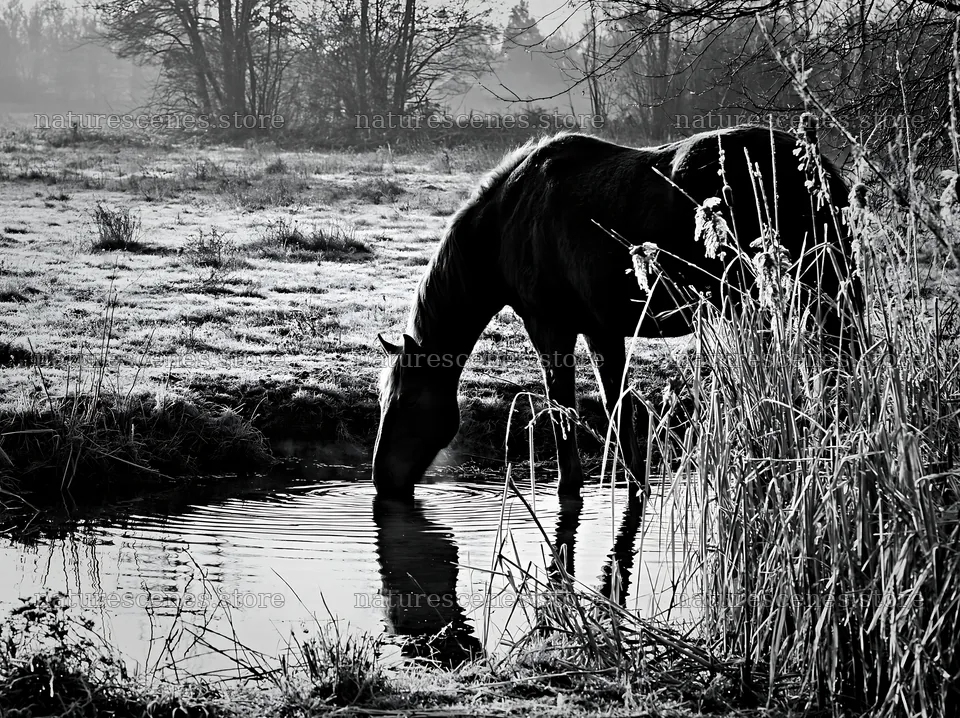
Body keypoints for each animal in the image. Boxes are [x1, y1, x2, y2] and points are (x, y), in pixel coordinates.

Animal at [373, 125, 857, 500]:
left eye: (406, 400)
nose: (381, 479)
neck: (507, 221)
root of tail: (821, 172)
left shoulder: (550, 328)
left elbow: (562, 407)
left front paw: (571, 485)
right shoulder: (600, 330)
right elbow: (617, 407)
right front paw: (634, 485)